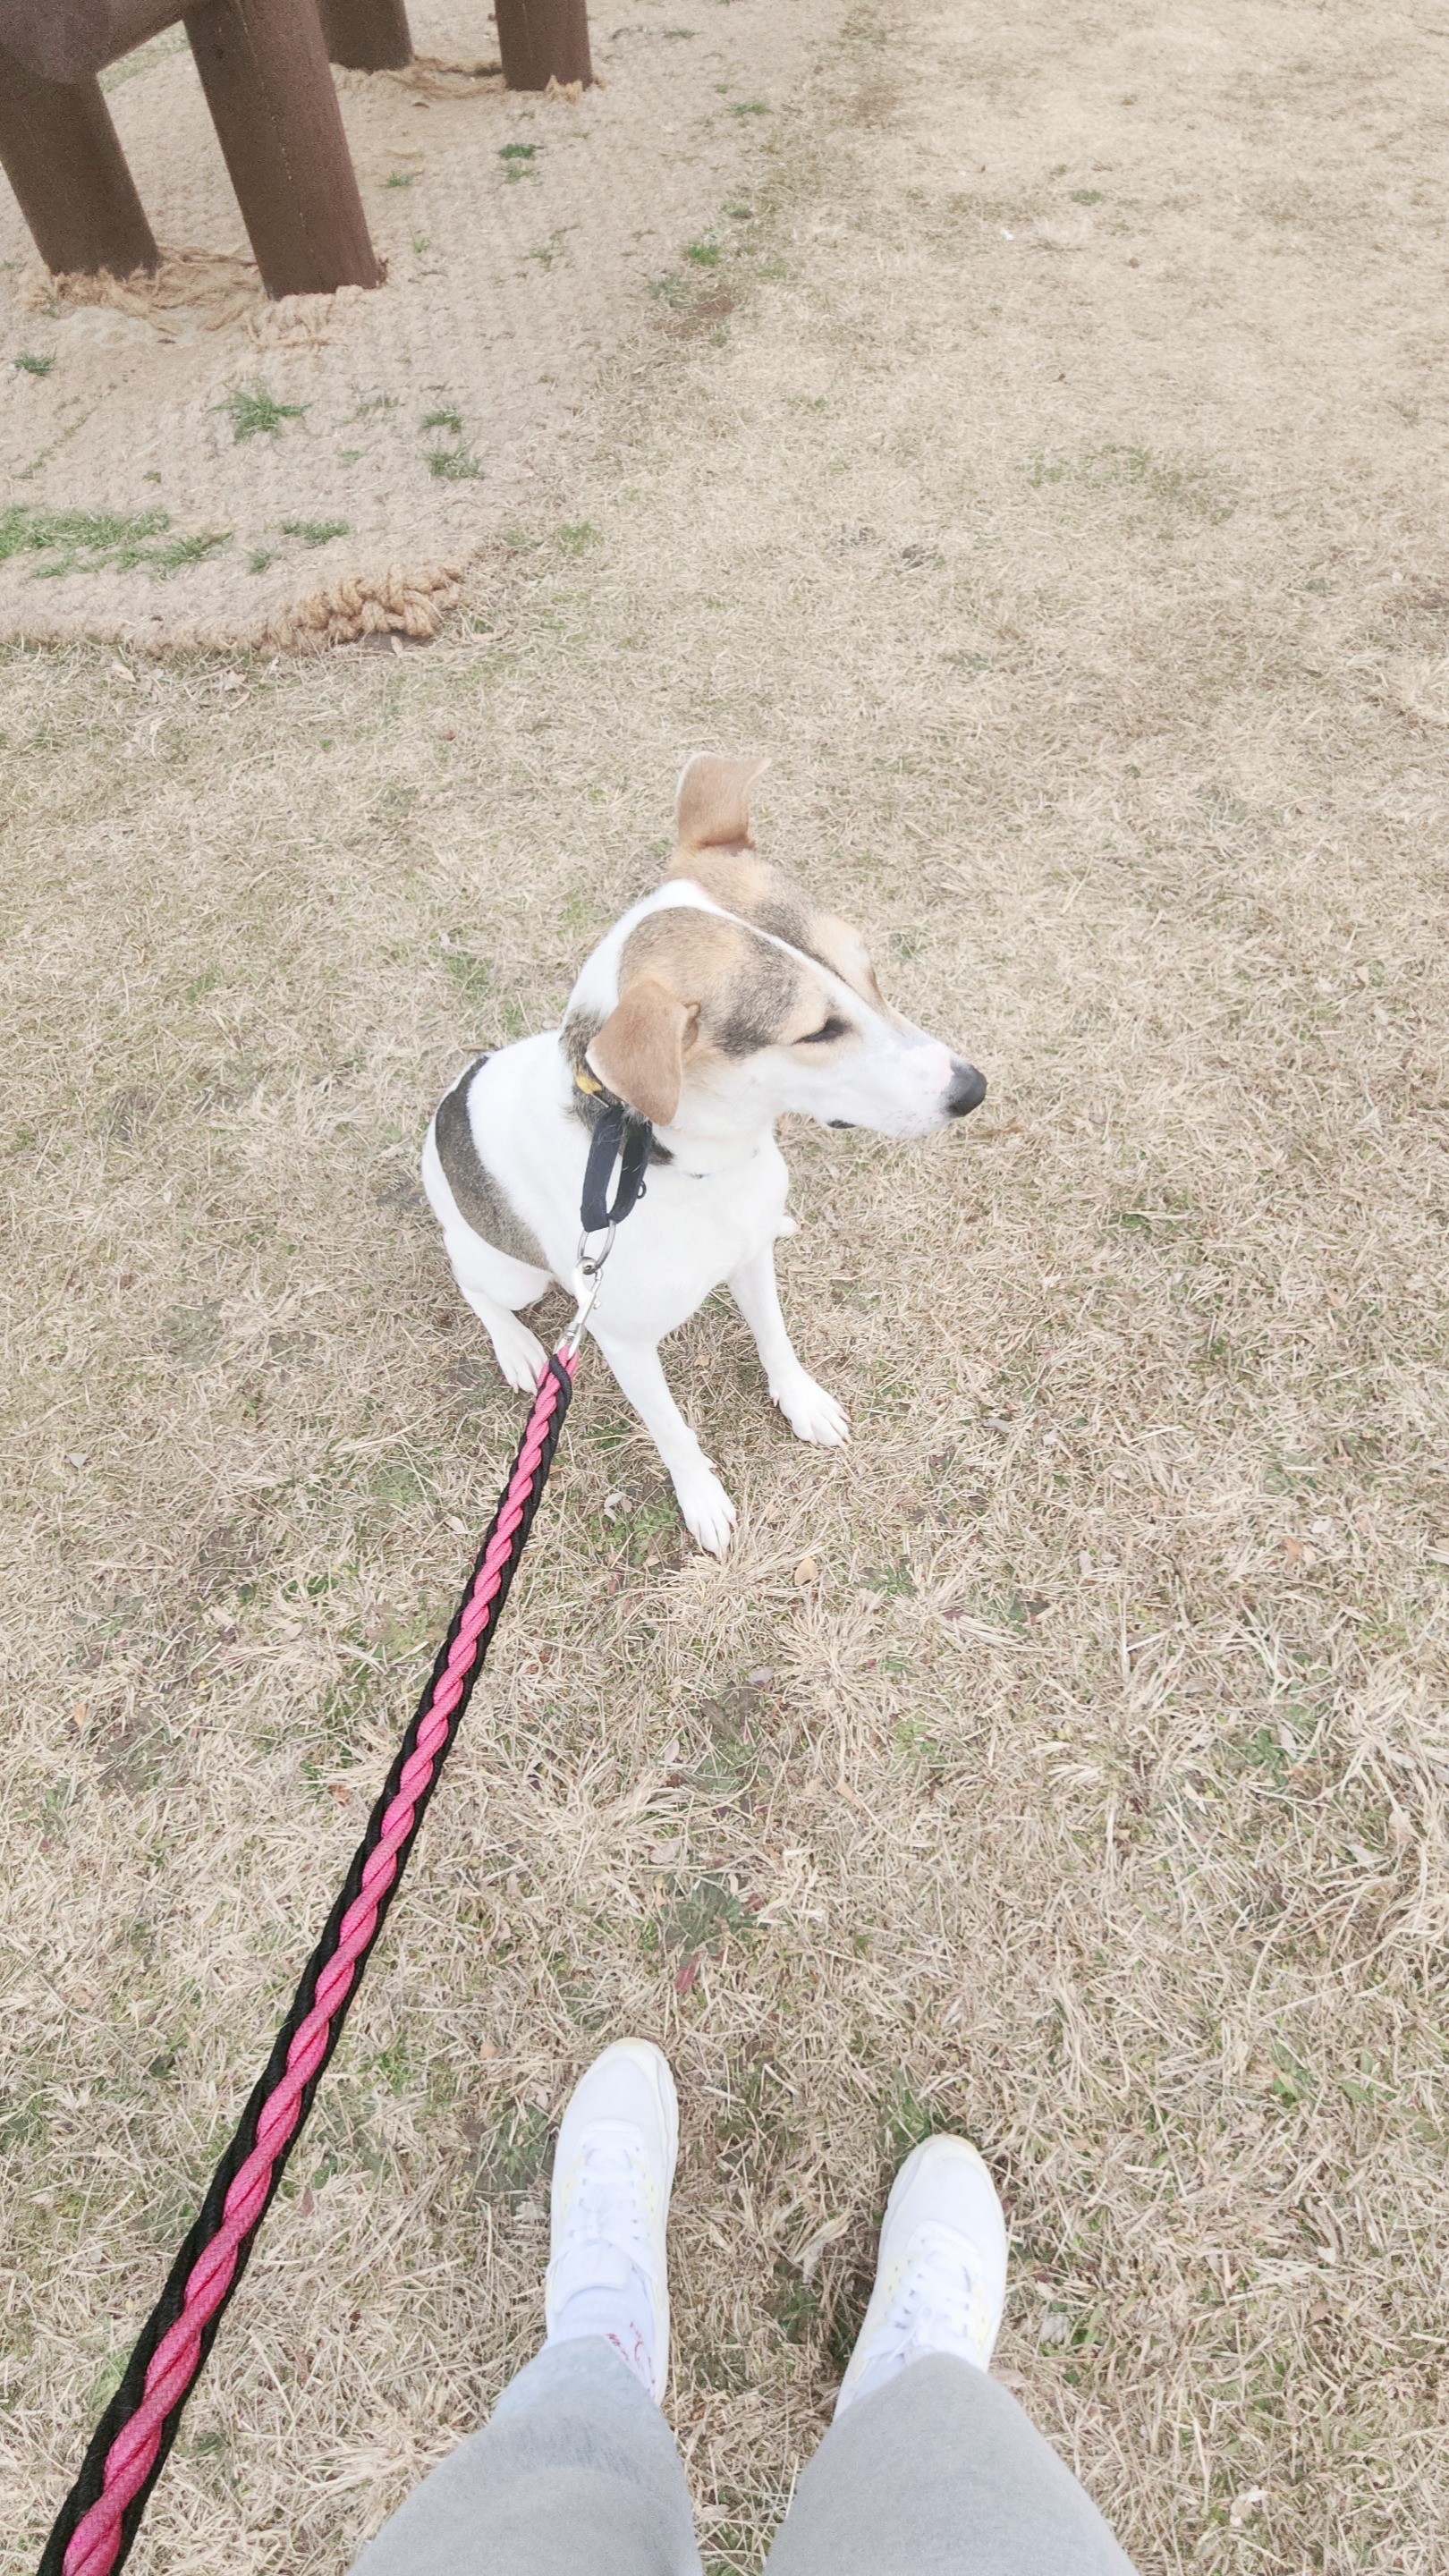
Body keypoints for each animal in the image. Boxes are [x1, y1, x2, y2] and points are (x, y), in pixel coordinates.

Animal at [422, 756, 986, 1555]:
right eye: (815, 1032)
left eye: (867, 968)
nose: (973, 1090)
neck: (671, 1164)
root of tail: (448, 1104)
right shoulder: (623, 1343)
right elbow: (673, 1432)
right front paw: (701, 1499)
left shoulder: (751, 1259)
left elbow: (776, 1340)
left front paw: (802, 1400)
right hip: (511, 1274)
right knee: (474, 1287)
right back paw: (516, 1347)